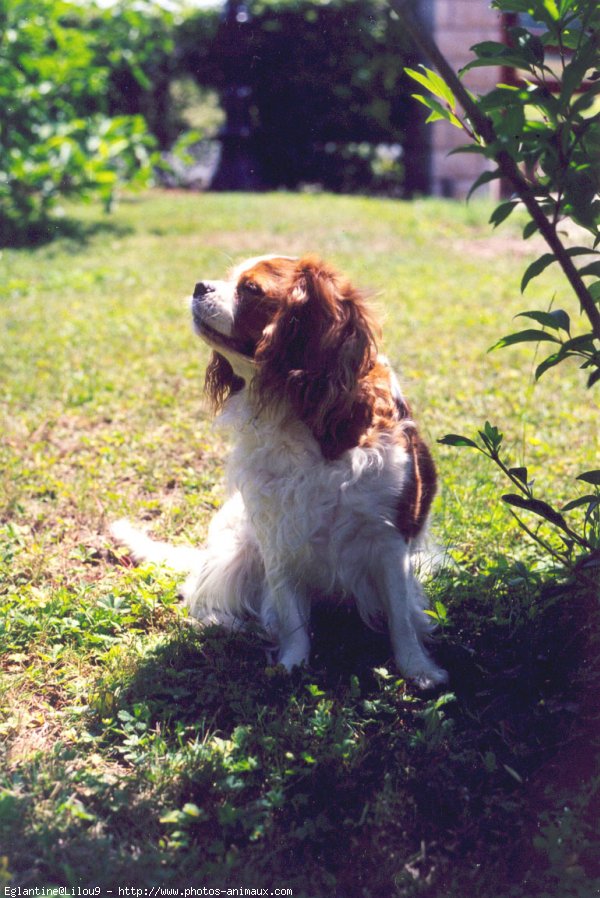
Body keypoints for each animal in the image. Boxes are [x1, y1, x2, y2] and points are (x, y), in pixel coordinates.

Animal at [112, 256, 448, 688]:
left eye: (250, 290)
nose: (199, 286)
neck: (302, 415)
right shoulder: (277, 533)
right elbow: (291, 615)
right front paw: (292, 664)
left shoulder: (389, 539)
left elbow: (400, 616)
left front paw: (418, 668)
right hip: (237, 544)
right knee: (205, 591)